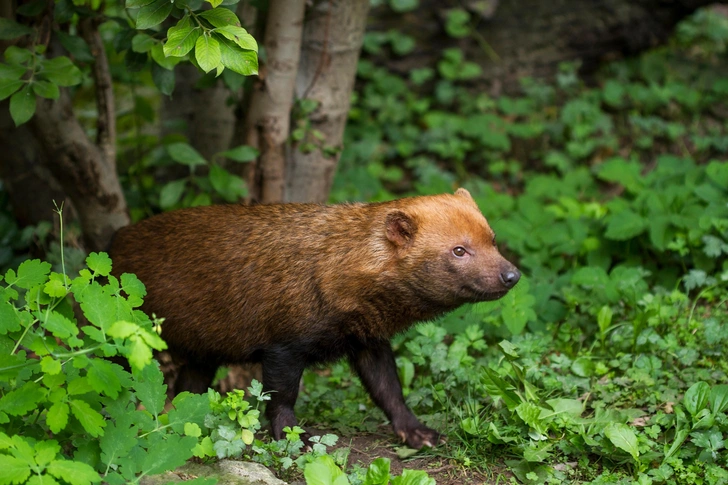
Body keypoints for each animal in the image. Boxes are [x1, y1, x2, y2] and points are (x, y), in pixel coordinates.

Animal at [108, 188, 520, 446]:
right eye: (459, 250)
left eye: (492, 237)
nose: (512, 275)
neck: (333, 270)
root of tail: (113, 242)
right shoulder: (283, 345)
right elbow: (281, 395)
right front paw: (296, 438)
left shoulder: (369, 341)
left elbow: (388, 389)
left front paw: (419, 433)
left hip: (202, 355)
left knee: (185, 391)